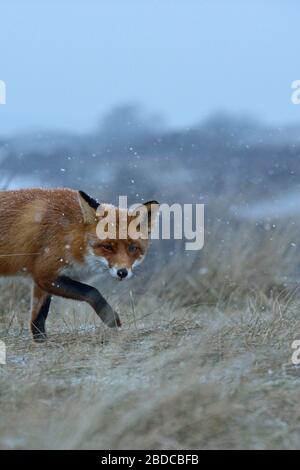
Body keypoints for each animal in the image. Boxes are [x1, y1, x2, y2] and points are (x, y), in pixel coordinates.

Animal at [0, 188, 159, 342]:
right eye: (107, 247)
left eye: (132, 248)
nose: (122, 272)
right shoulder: (45, 275)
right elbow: (91, 291)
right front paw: (110, 318)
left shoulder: (42, 278)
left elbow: (38, 318)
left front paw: (41, 341)